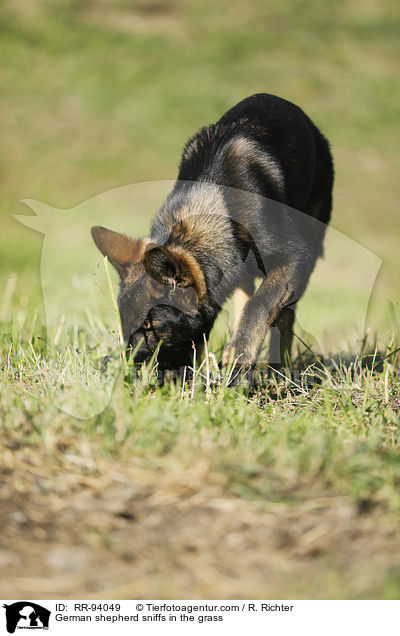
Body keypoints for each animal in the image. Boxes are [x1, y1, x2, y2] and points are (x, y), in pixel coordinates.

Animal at [92, 95, 332, 372]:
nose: (123, 368)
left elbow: (260, 304)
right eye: (126, 324)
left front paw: (240, 351)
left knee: (282, 315)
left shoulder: (294, 258)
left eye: (151, 327)